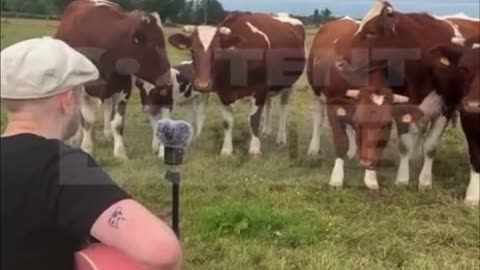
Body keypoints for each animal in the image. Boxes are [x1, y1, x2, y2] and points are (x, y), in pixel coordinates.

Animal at [55, 0, 172, 159]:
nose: (168, 78)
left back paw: (107, 134)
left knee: (107, 106)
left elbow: (117, 123)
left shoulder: (123, 89)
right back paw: (77, 138)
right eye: (153, 45)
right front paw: (87, 147)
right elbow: (88, 121)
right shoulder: (86, 89)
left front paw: (120, 152)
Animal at [328, 1, 470, 190]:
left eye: (371, 32)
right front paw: (402, 178)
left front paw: (425, 181)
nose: (339, 62)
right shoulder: (403, 108)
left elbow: (430, 146)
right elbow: (405, 145)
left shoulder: (446, 108)